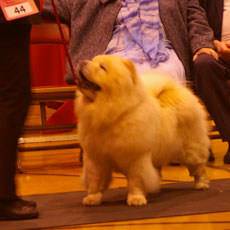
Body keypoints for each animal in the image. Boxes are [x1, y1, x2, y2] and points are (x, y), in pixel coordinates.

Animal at [75, 54, 210, 207]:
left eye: (102, 67)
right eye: (92, 60)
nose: (82, 62)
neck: (111, 113)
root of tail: (179, 90)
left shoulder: (137, 158)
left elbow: (136, 181)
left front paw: (136, 199)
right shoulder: (96, 159)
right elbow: (95, 181)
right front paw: (92, 198)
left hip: (191, 149)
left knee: (199, 168)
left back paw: (201, 184)